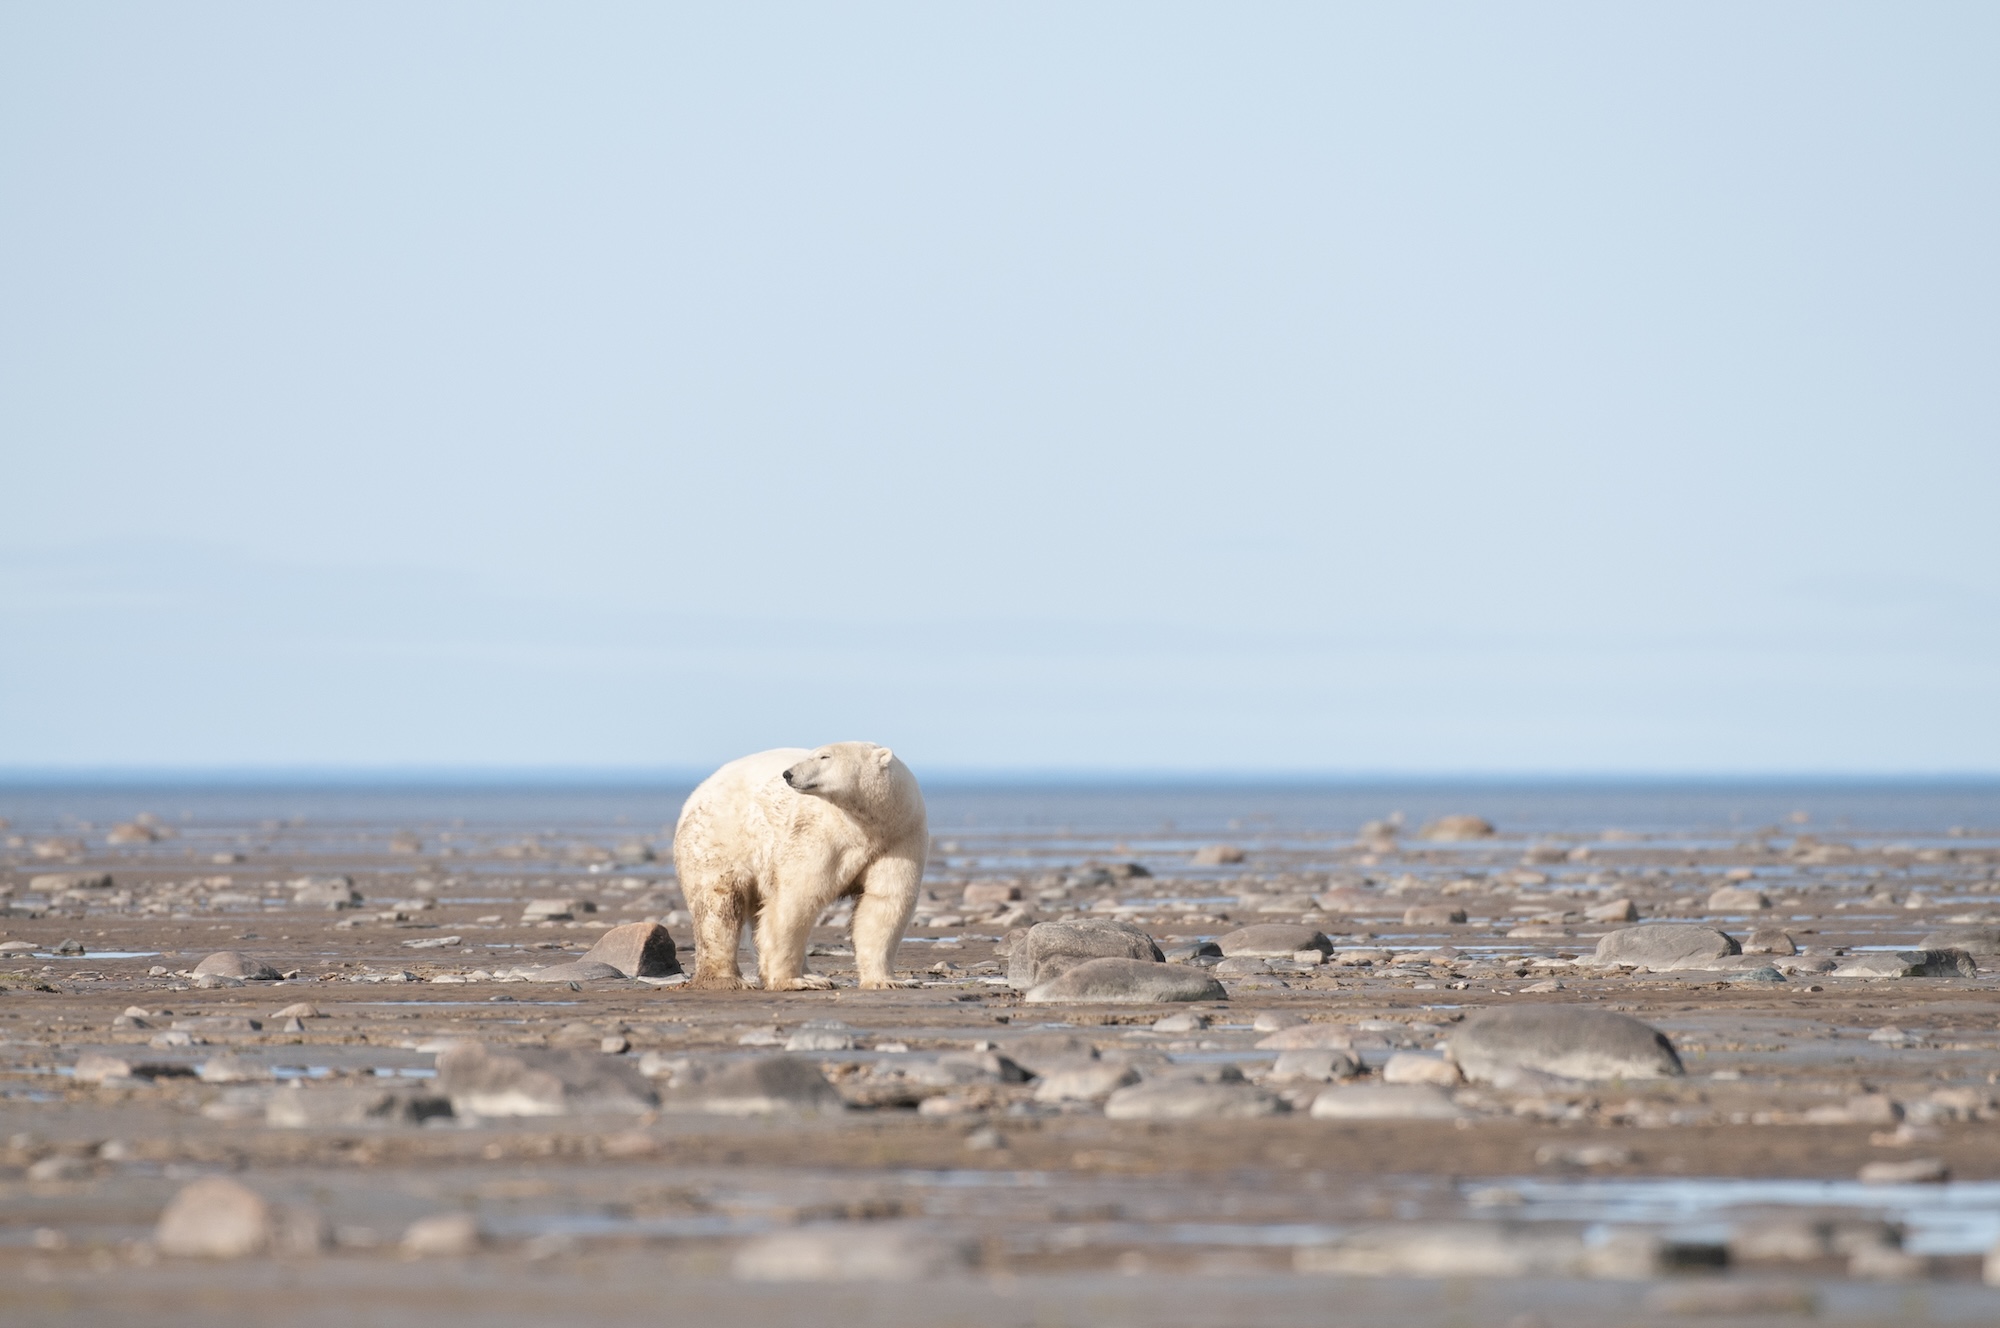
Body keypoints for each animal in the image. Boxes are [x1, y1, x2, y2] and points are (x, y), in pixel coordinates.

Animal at [672, 743, 927, 991]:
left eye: (825, 756)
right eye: (814, 753)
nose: (788, 773)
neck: (865, 826)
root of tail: (697, 792)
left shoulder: (899, 838)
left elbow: (884, 903)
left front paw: (887, 980)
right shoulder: (818, 835)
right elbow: (796, 899)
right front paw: (791, 981)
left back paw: (813, 975)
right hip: (719, 837)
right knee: (720, 905)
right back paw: (727, 979)